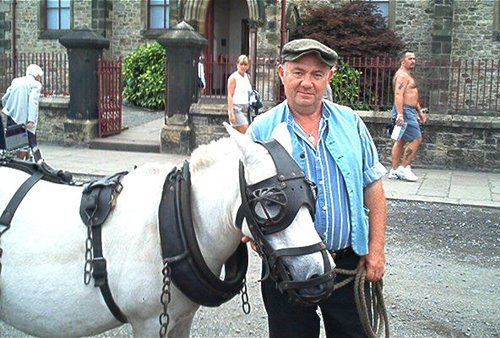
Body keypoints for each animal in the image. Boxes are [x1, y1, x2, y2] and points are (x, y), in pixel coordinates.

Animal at [0, 125, 336, 338]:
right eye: (270, 204)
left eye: (312, 192)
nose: (318, 277)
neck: (174, 221)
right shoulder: (149, 323)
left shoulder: (179, 319)